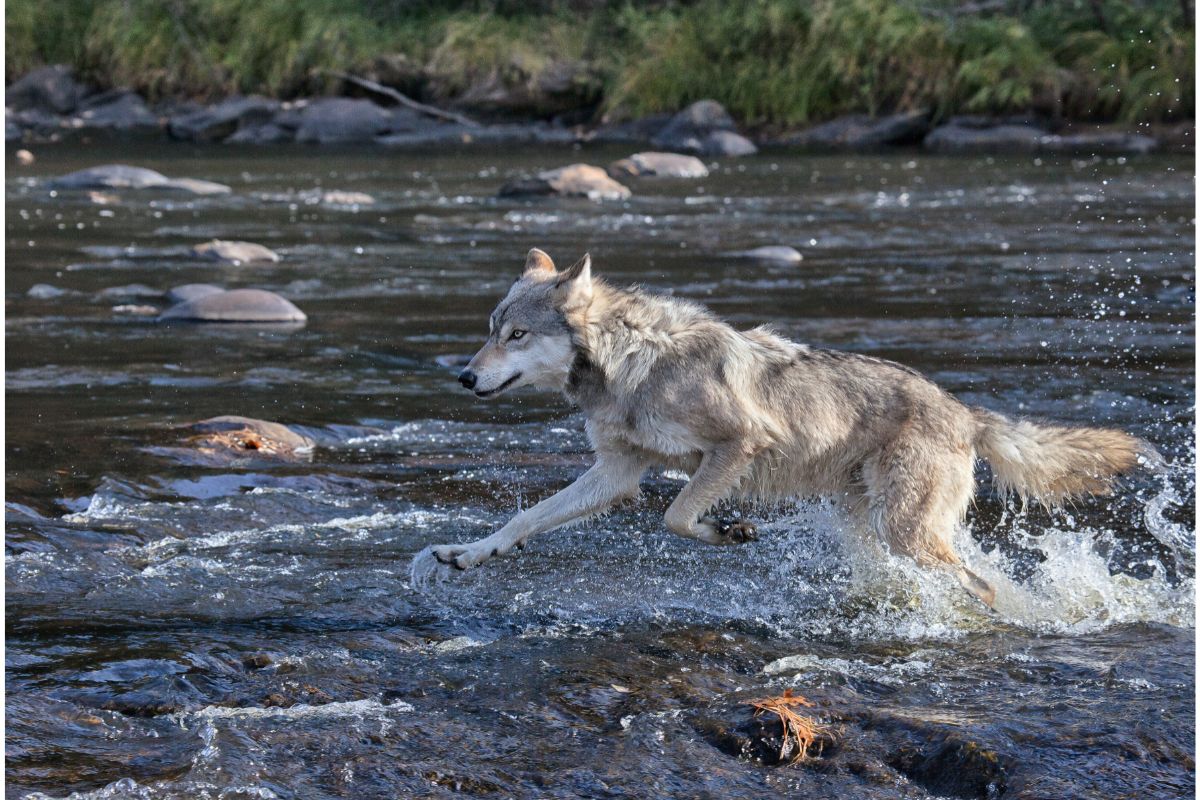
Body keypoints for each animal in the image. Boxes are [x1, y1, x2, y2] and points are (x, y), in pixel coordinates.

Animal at [427, 248, 1156, 606]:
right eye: (489, 331)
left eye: (516, 336)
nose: (462, 377)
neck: (630, 362)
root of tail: (964, 411)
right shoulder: (616, 471)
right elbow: (526, 518)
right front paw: (470, 553)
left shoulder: (737, 445)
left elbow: (676, 516)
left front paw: (729, 530)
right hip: (875, 529)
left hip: (905, 530)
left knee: (979, 582)